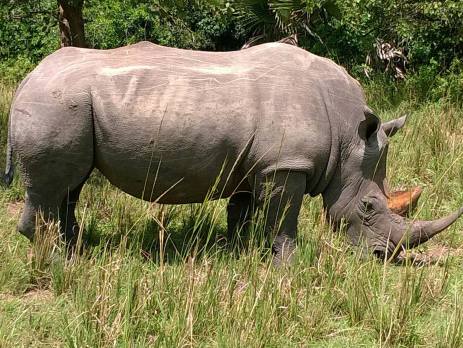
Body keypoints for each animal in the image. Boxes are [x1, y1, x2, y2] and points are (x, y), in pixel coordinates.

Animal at [4, 42, 463, 262]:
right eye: (368, 207)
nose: (383, 257)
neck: (347, 135)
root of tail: (28, 79)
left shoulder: (255, 165)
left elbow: (241, 214)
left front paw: (239, 254)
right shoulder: (285, 165)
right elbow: (284, 218)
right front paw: (287, 267)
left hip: (67, 109)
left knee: (71, 185)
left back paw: (75, 249)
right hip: (57, 105)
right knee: (52, 188)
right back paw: (64, 265)